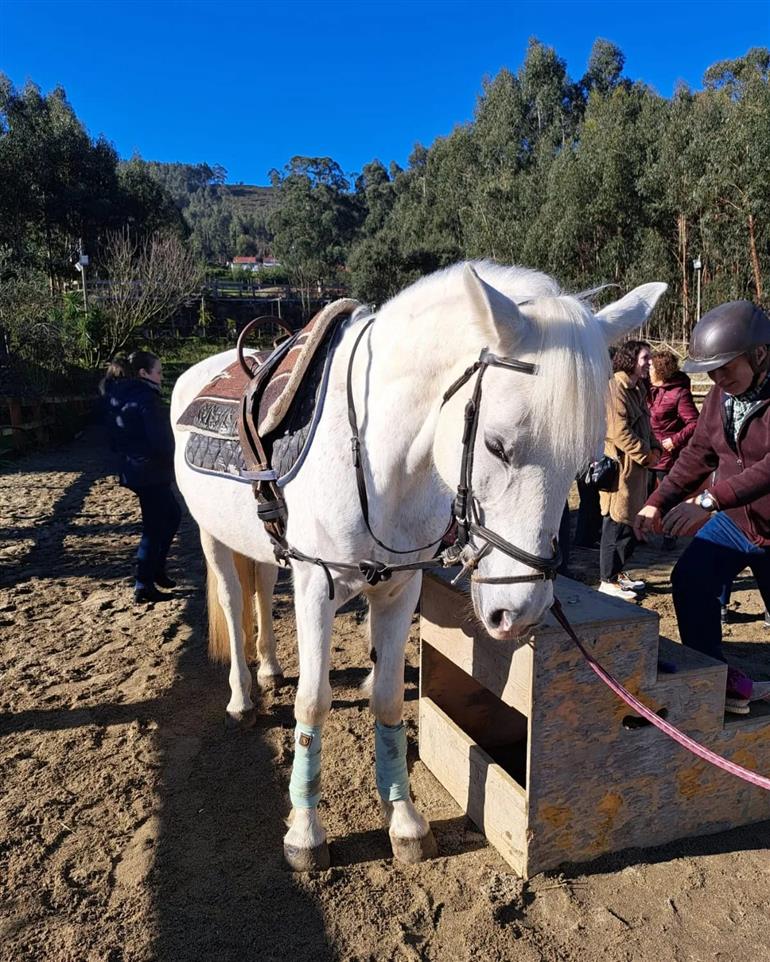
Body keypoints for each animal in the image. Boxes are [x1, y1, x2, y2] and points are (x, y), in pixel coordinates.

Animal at [171, 261, 666, 871]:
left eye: (583, 460)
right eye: (496, 445)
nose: (520, 612)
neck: (376, 458)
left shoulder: (398, 589)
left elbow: (385, 699)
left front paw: (403, 820)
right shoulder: (316, 585)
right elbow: (313, 702)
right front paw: (305, 832)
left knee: (262, 590)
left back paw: (268, 668)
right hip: (213, 538)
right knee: (234, 600)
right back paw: (243, 696)